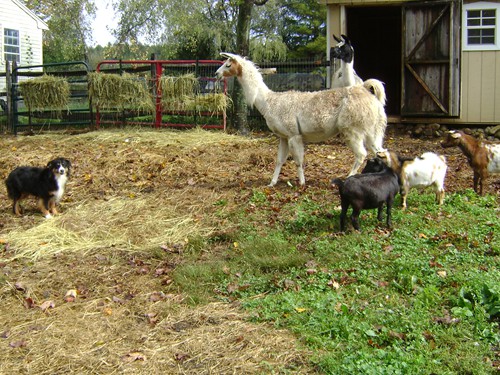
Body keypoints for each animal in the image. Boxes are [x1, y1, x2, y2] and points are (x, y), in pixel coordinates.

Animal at [215, 52, 386, 187]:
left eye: (228, 64)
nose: (216, 74)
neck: (269, 102)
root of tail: (367, 92)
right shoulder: (283, 136)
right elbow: (279, 160)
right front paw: (272, 183)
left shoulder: (293, 134)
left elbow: (298, 160)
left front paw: (302, 183)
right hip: (371, 129)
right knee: (380, 152)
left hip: (352, 128)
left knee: (362, 154)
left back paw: (349, 178)